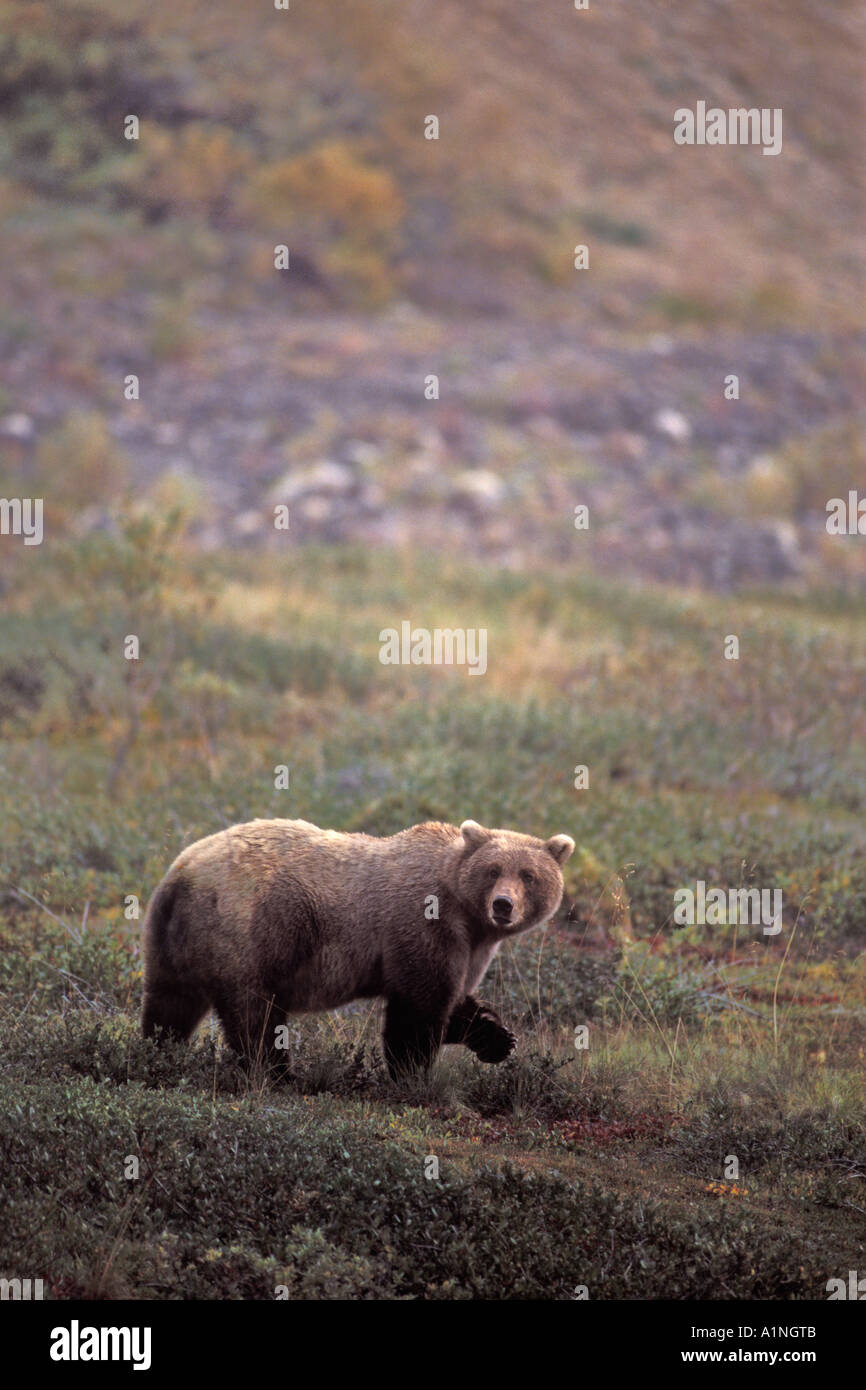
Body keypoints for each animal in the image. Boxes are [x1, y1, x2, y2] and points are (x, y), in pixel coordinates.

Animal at [142, 817, 575, 1078]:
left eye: (529, 875)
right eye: (493, 870)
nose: (503, 905)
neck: (468, 916)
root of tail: (182, 870)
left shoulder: (471, 948)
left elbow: (452, 1000)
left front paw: (497, 1036)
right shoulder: (423, 927)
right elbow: (418, 1009)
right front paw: (413, 1075)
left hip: (177, 937)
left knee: (170, 1002)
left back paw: (157, 1049)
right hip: (254, 928)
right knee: (254, 1012)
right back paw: (278, 1072)